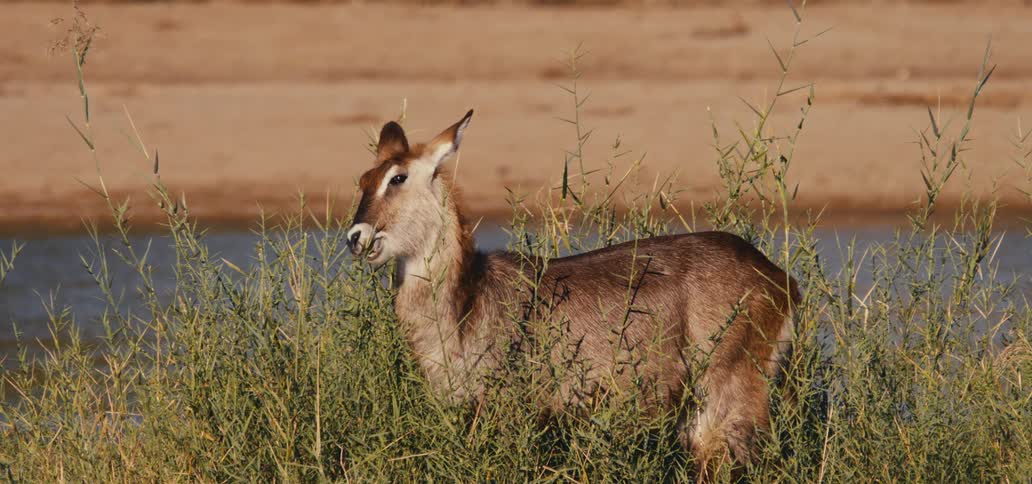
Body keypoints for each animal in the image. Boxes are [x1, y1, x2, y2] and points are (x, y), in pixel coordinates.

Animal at [346, 110, 800, 476]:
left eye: (398, 177)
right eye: (363, 181)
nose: (355, 237)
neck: (466, 304)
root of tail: (780, 278)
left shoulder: (506, 411)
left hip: (730, 396)